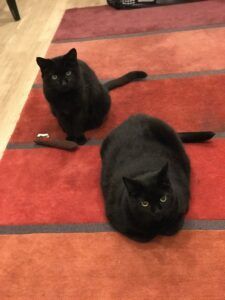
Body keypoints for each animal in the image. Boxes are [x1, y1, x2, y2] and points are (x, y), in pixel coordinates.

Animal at [100, 113, 214, 243]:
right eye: (144, 203)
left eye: (163, 199)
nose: (157, 210)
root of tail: (134, 117)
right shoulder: (116, 218)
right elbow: (143, 236)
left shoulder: (182, 204)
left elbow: (172, 228)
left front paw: (163, 228)